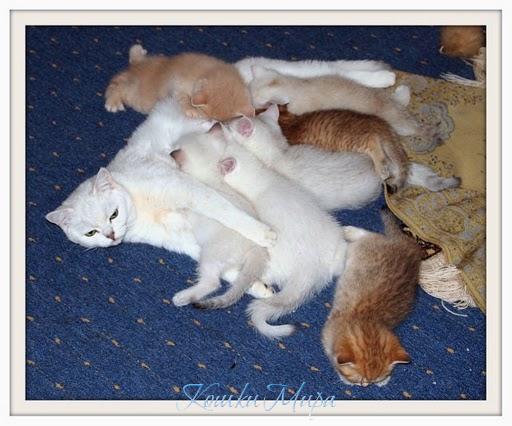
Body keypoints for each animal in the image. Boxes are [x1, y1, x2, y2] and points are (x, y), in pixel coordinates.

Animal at [46, 98, 277, 300]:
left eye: (113, 214)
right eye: (91, 233)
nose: (111, 236)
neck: (139, 209)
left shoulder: (183, 188)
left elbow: (226, 211)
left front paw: (265, 234)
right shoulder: (179, 239)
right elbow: (228, 270)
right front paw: (259, 288)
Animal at [104, 44, 255, 121]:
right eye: (206, 115)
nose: (210, 122)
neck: (207, 71)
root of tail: (138, 63)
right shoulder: (176, 85)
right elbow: (184, 98)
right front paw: (190, 110)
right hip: (133, 93)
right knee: (116, 86)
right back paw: (113, 103)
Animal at [322, 211, 422, 387]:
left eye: (374, 380)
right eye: (360, 379)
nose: (365, 385)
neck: (367, 320)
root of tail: (408, 247)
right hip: (361, 248)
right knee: (369, 235)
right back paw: (349, 231)